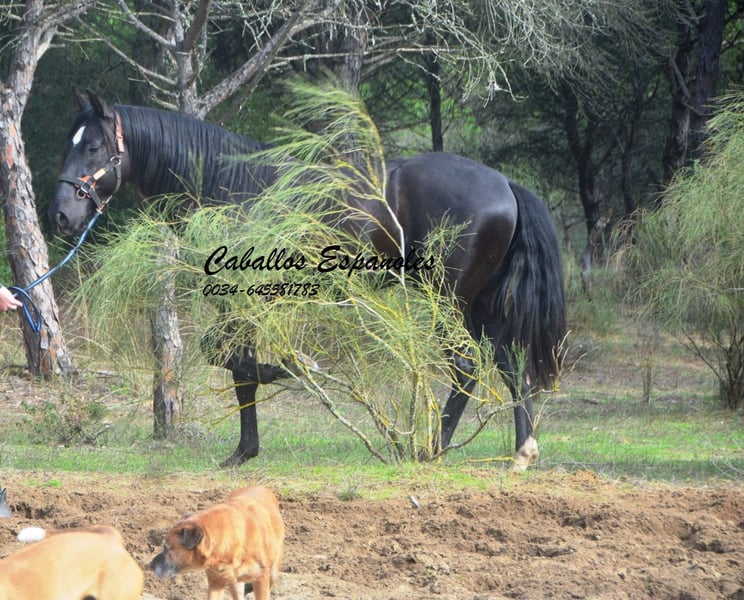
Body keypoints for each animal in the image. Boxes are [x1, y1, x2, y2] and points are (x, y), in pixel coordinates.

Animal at [49, 89, 566, 469]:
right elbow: (235, 364)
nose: (61, 215)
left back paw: (429, 449)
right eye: (67, 143)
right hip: (480, 306)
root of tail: (505, 184)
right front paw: (245, 449)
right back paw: (521, 452)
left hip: (448, 298)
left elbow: (237, 362)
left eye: (93, 146)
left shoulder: (241, 296)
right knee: (509, 364)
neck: (231, 183)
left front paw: (293, 376)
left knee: (465, 364)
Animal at [150, 485, 284, 600]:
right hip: (235, 581)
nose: (150, 565)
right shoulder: (216, 581)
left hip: (272, 570)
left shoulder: (261, 577)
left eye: (166, 548)